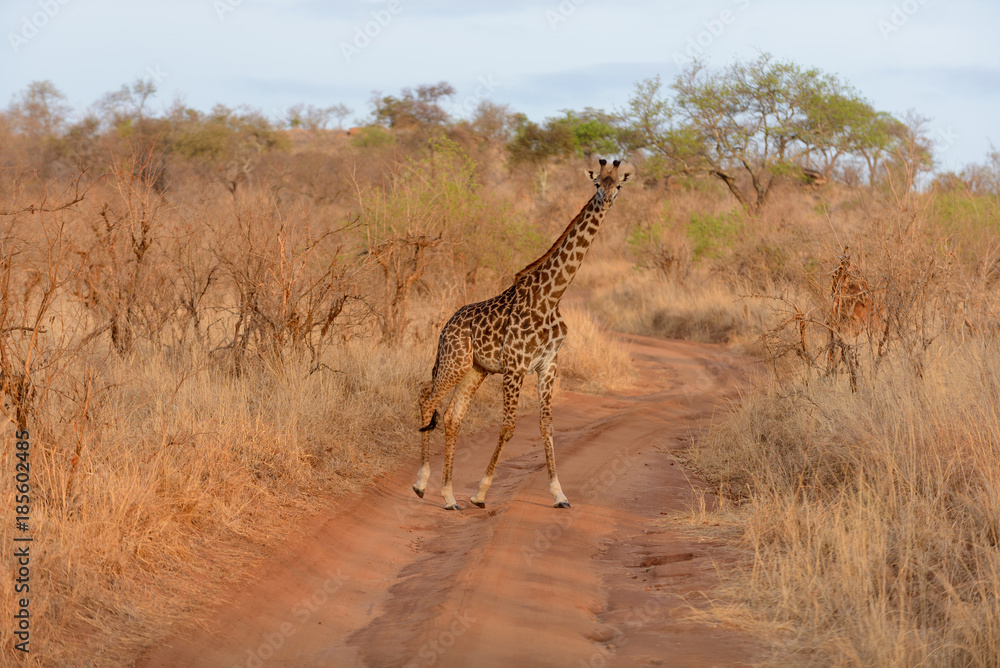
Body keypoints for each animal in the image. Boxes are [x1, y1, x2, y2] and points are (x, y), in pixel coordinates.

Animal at [413, 158, 632, 510]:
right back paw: (421, 483)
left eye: (619, 185)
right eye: (597, 183)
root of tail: (445, 327)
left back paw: (448, 496)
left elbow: (547, 425)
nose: (606, 199)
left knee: (452, 417)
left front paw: (559, 494)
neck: (551, 296)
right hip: (454, 362)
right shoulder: (515, 367)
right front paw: (480, 493)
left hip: (476, 370)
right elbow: (509, 427)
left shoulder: (548, 365)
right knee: (427, 399)